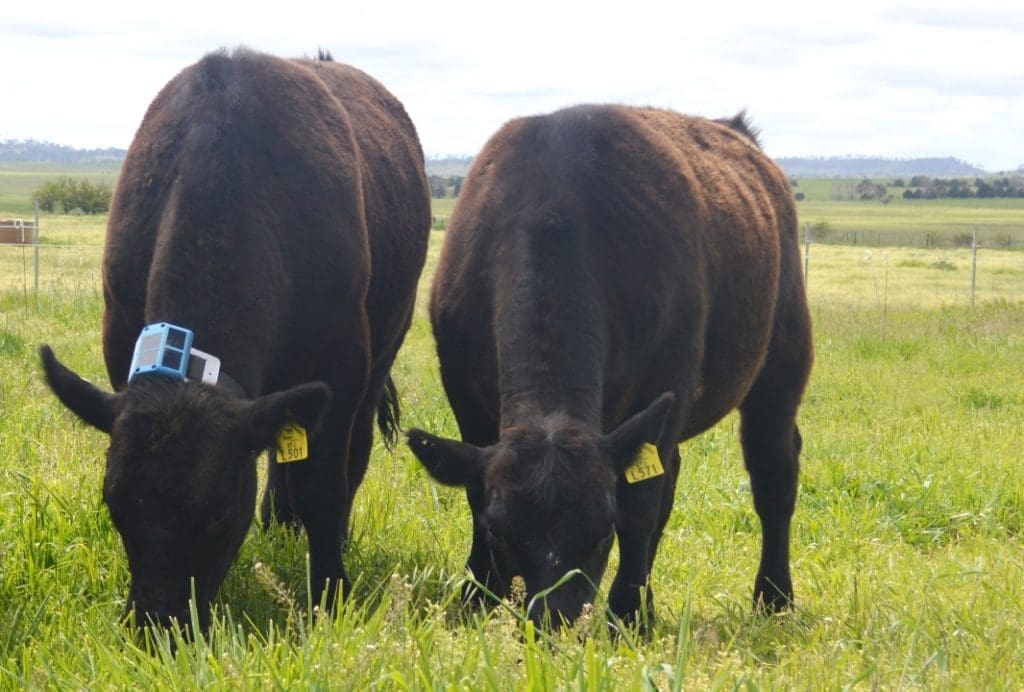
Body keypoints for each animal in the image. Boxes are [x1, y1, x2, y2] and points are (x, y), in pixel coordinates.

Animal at [39, 47, 430, 630]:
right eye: (114, 504)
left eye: (221, 512)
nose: (157, 627)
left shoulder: (341, 362)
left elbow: (322, 485)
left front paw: (330, 592)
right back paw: (280, 525)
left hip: (383, 349)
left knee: (349, 458)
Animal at [403, 105, 811, 630]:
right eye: (501, 535)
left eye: (601, 532)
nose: (554, 619)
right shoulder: (466, 397)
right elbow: (475, 494)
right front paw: (478, 595)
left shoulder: (665, 384)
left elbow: (640, 507)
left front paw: (628, 612)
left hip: (781, 363)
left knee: (773, 472)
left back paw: (774, 596)